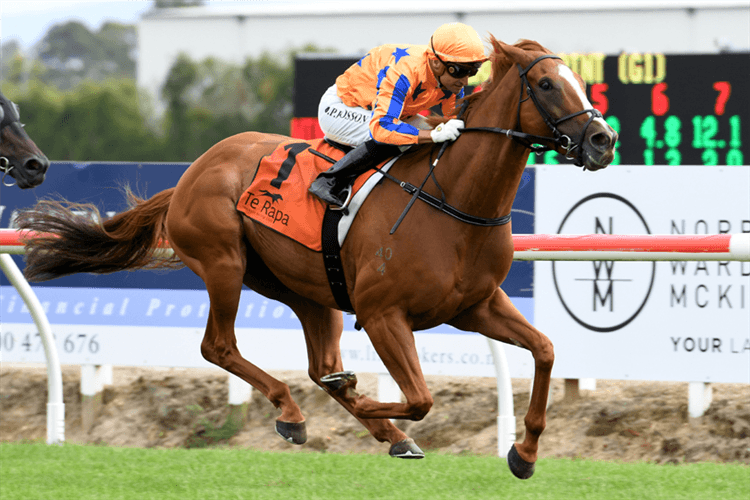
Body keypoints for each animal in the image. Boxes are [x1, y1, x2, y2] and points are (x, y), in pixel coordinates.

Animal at [17, 38, 616, 476]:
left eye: (578, 81)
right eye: (546, 84)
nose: (601, 140)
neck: (453, 201)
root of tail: (193, 171)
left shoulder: (476, 305)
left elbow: (545, 350)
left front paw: (525, 453)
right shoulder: (382, 314)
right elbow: (419, 397)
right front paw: (366, 402)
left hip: (309, 289)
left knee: (316, 361)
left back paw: (377, 427)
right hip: (224, 264)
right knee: (220, 346)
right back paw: (296, 412)